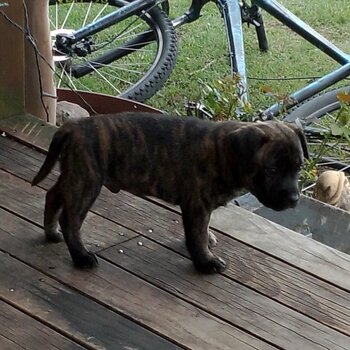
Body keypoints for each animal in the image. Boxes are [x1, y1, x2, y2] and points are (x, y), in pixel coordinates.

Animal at [31, 113, 308, 272]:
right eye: (272, 170)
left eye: (298, 168)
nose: (294, 199)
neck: (225, 152)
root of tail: (72, 127)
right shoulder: (197, 205)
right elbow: (196, 235)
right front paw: (205, 262)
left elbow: (203, 230)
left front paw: (208, 243)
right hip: (86, 181)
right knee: (71, 219)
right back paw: (81, 257)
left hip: (74, 175)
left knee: (53, 195)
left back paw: (51, 233)